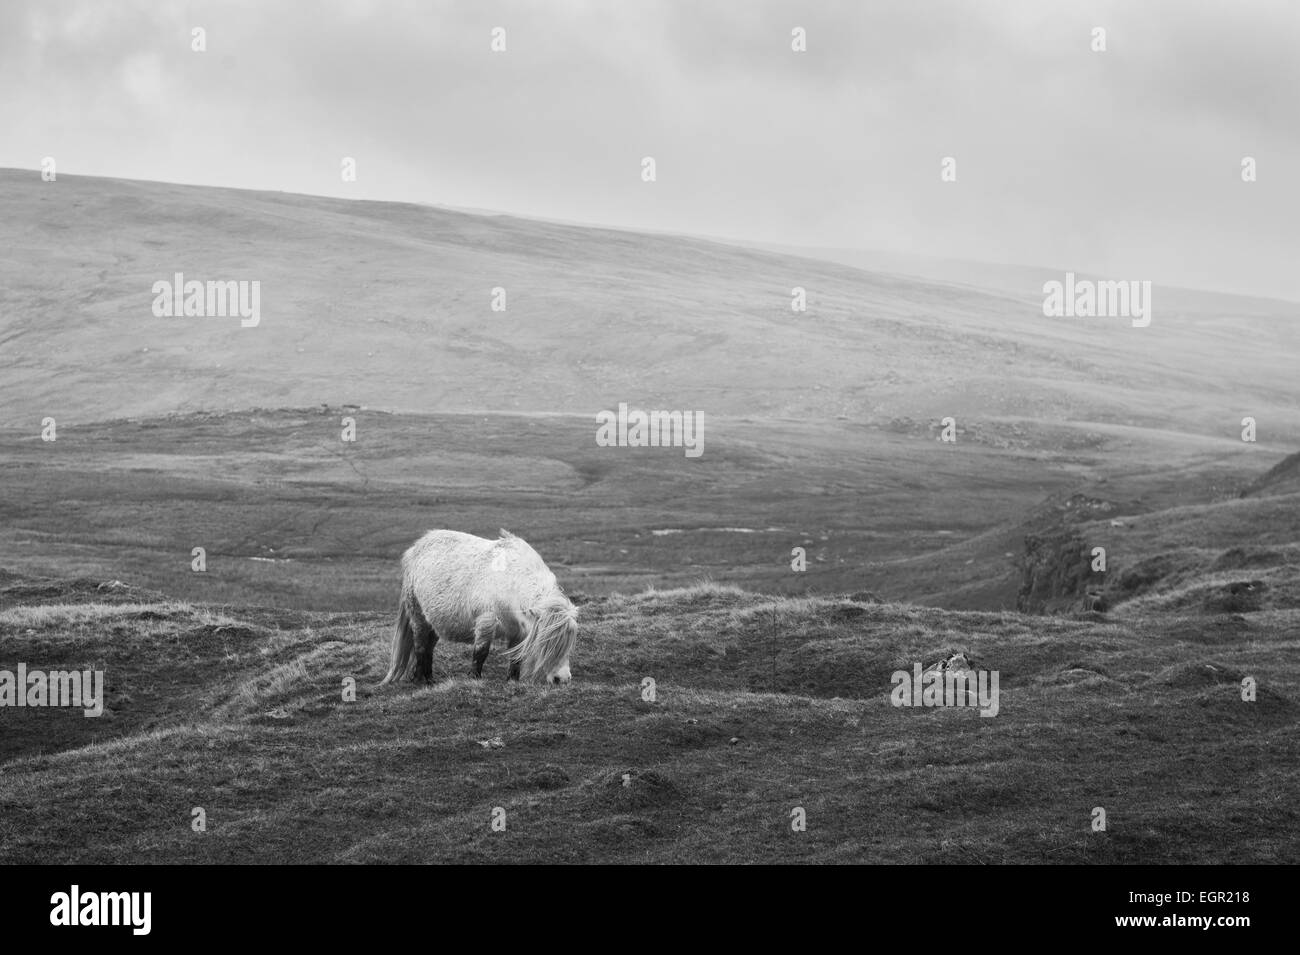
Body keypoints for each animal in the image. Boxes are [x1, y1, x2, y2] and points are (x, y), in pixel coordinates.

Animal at [380, 529, 579, 686]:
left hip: (435, 622)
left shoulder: (518, 630)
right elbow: (481, 652)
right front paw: (474, 678)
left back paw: (427, 678)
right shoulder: (486, 620)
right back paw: (421, 680)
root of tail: (415, 549)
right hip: (418, 616)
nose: (561, 679)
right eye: (545, 643)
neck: (511, 579)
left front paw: (512, 680)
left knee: (428, 648)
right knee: (420, 646)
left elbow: (516, 657)